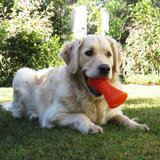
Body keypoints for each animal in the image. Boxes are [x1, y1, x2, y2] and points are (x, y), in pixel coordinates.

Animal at [2, 35, 149, 134]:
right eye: (88, 53)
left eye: (109, 54)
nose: (105, 68)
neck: (91, 99)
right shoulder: (52, 115)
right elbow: (80, 115)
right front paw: (91, 126)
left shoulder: (111, 112)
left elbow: (123, 118)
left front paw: (137, 125)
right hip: (22, 74)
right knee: (19, 112)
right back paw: (33, 115)